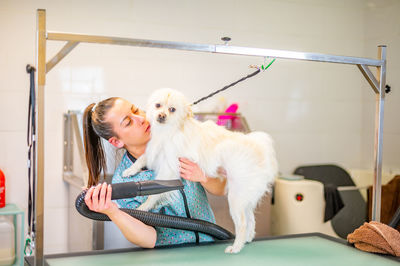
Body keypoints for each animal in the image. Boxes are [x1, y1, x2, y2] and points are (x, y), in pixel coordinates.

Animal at [122, 88, 278, 252]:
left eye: (172, 109)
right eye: (158, 105)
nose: (161, 116)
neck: (168, 131)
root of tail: (260, 148)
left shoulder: (169, 168)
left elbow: (154, 195)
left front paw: (143, 207)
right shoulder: (156, 152)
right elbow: (142, 158)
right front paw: (130, 170)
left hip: (236, 197)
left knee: (242, 223)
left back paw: (236, 247)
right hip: (244, 197)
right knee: (251, 220)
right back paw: (247, 240)